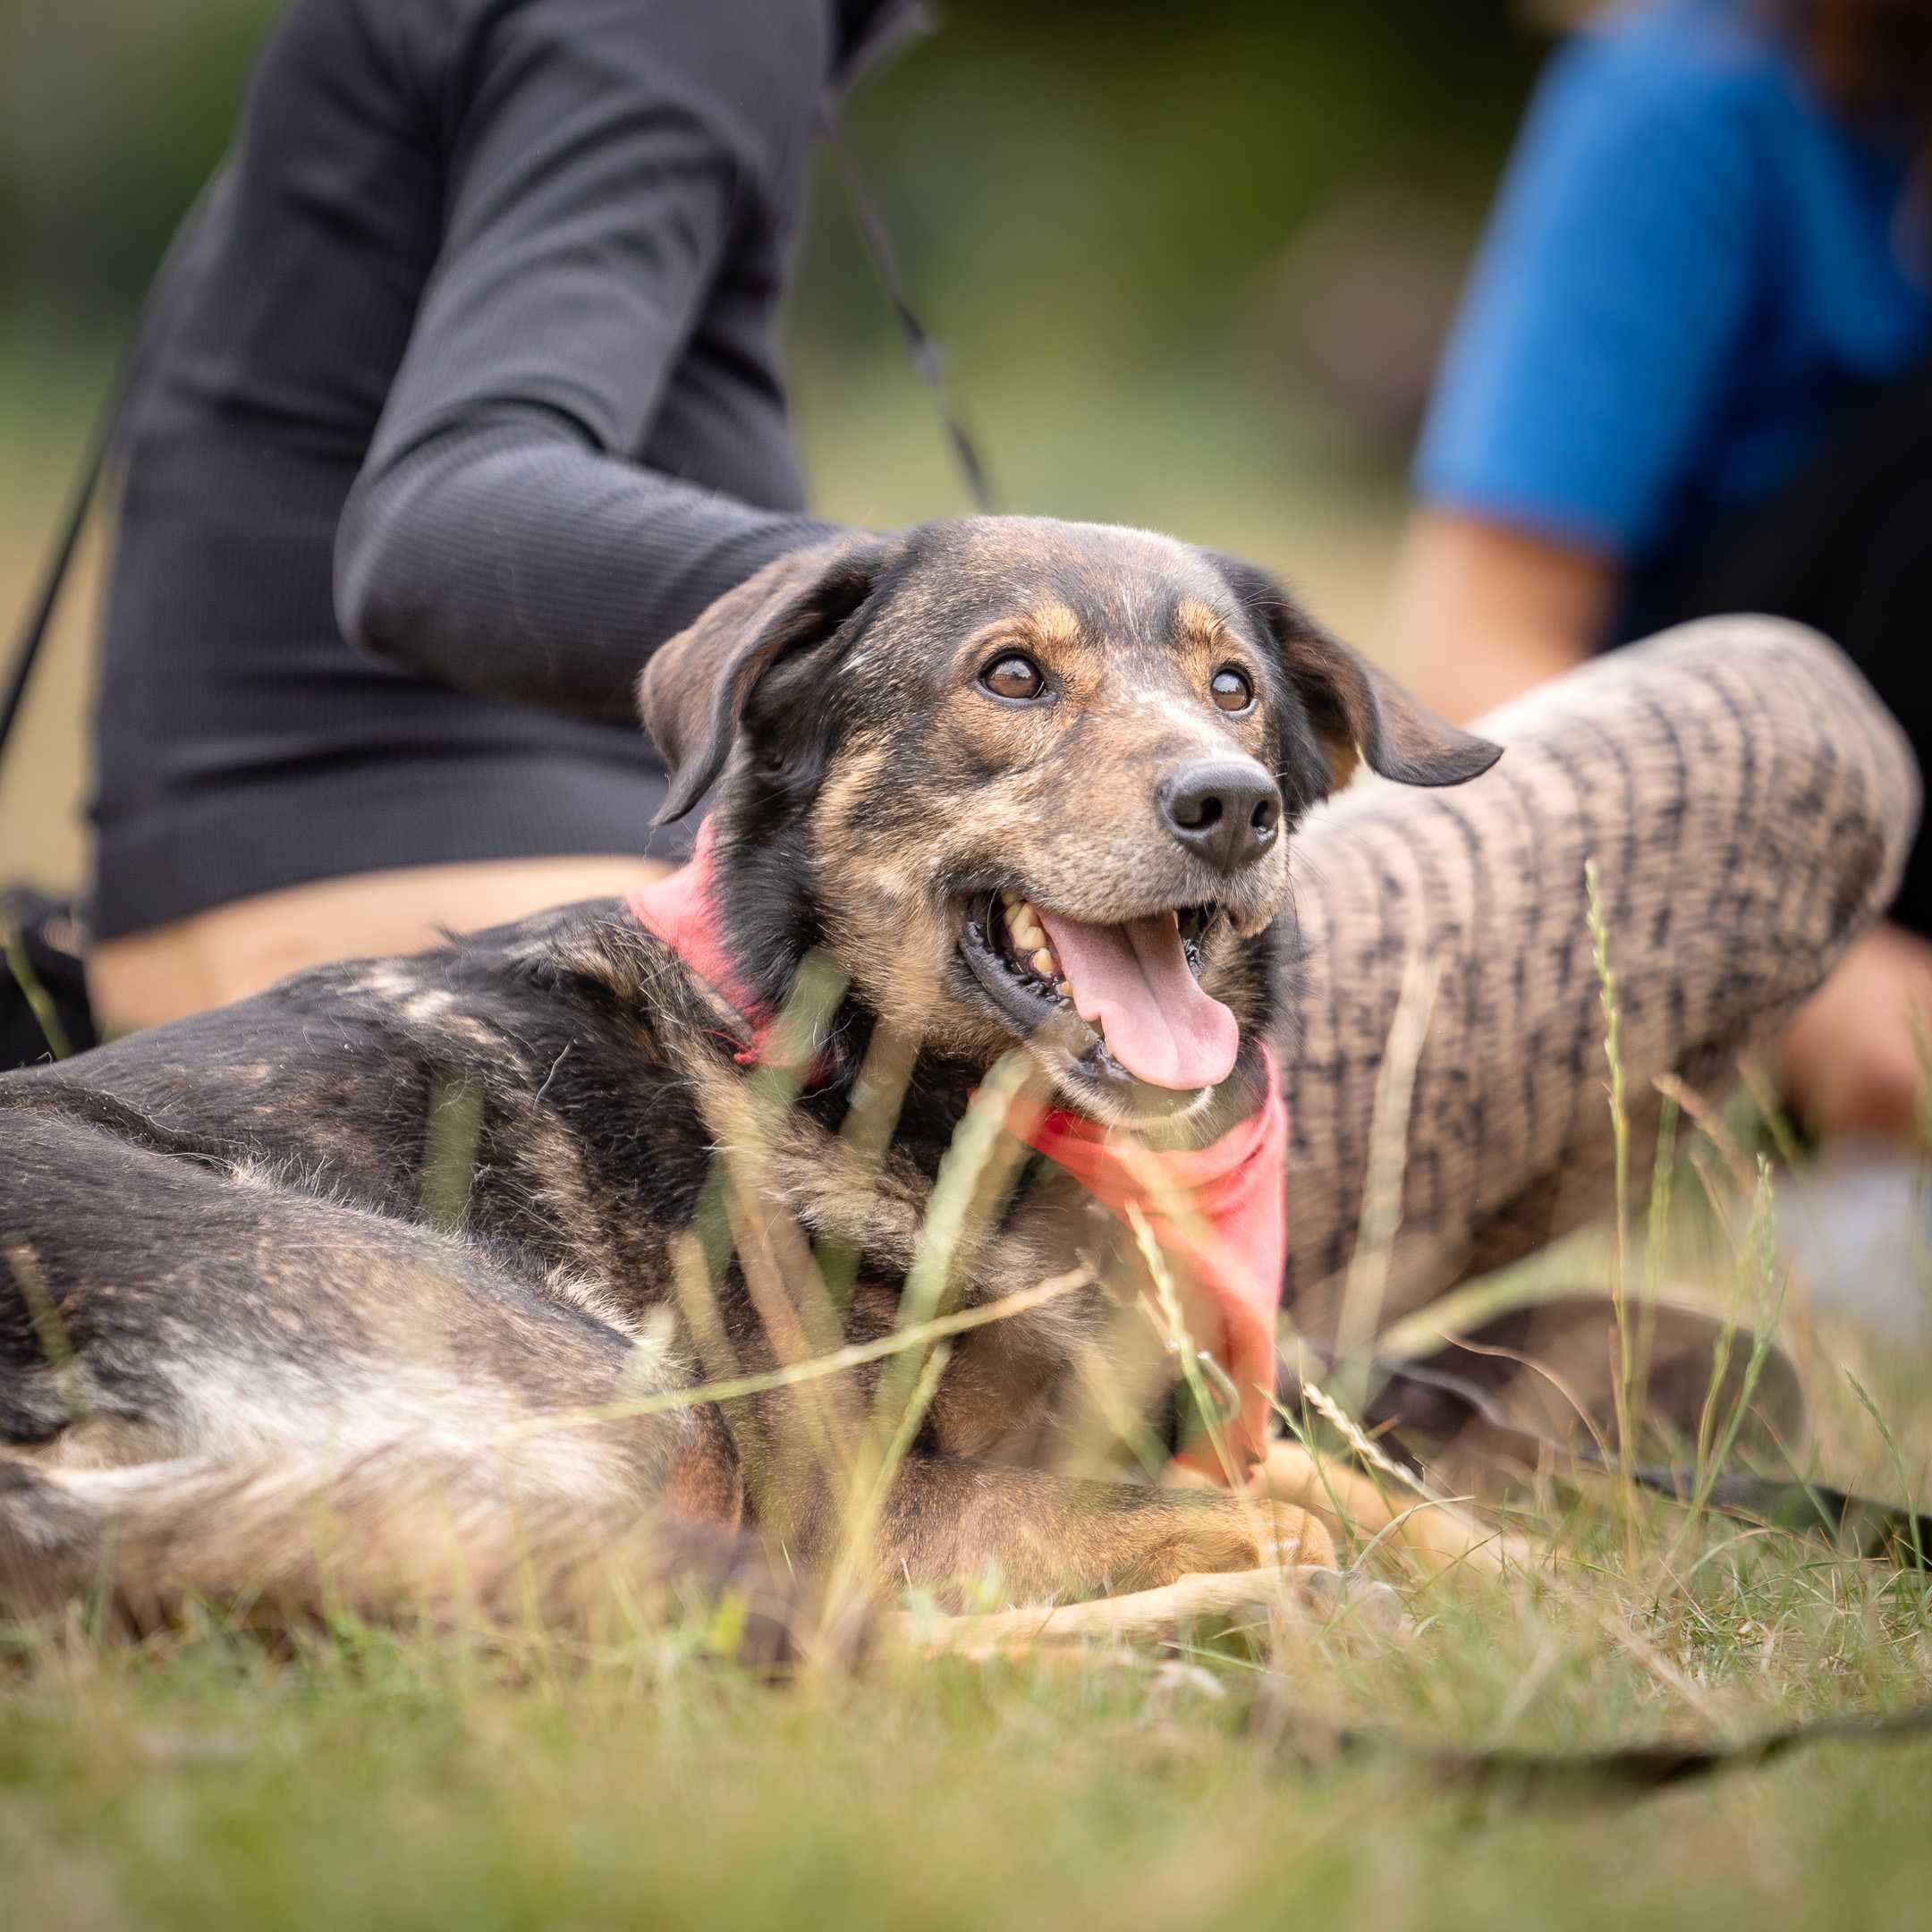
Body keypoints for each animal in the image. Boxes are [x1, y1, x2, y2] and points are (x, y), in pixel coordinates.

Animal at [0, 517, 1499, 1631]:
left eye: (1231, 689)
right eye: (1012, 677)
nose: (1233, 805)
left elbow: (1372, 1491)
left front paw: (1529, 1585)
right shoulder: (878, 1509)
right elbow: (1265, 1506)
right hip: (620, 1404)